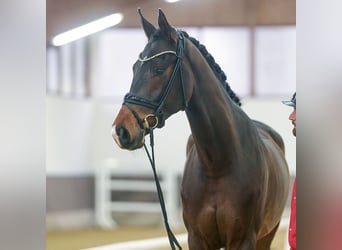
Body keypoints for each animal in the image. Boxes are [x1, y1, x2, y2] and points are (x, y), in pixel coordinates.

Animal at [112, 8, 288, 249]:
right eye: (134, 68)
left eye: (158, 69)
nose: (120, 130)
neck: (218, 164)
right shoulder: (197, 238)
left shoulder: (243, 240)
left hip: (267, 235)